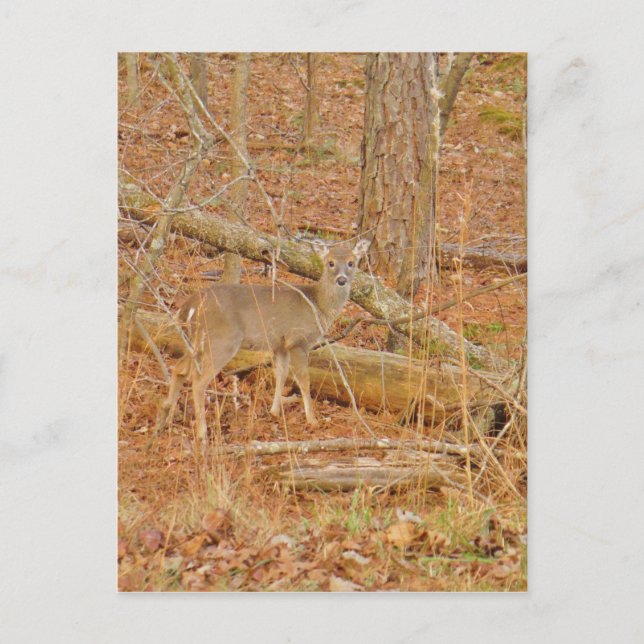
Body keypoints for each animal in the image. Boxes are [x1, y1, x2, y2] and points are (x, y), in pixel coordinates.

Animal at [156, 238, 371, 440]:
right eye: (330, 263)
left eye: (351, 263)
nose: (342, 280)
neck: (318, 305)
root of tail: (190, 305)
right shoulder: (297, 340)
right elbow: (303, 379)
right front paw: (312, 419)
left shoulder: (280, 345)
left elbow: (281, 373)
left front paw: (274, 411)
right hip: (222, 340)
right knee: (198, 380)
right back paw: (202, 432)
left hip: (195, 341)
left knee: (179, 369)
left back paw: (166, 418)